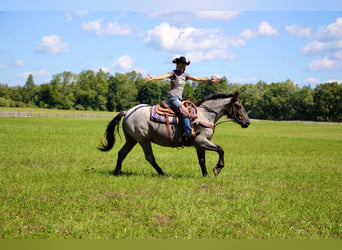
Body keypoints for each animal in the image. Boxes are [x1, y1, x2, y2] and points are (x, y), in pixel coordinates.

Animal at [97, 92, 250, 178]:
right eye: (238, 106)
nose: (247, 122)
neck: (205, 115)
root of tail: (127, 112)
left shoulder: (200, 145)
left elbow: (202, 160)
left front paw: (206, 175)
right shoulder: (202, 141)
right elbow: (220, 149)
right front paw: (217, 168)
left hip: (132, 140)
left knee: (122, 153)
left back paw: (117, 172)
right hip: (144, 140)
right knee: (149, 157)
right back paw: (163, 173)